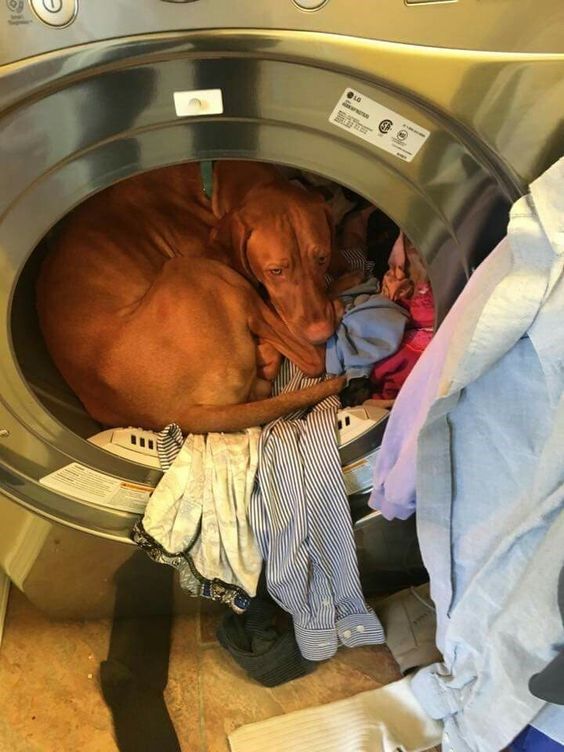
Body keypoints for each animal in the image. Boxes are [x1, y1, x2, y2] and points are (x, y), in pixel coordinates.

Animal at [36, 159, 348, 432]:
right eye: (276, 271)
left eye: (322, 258)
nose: (321, 331)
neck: (210, 184)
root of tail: (172, 414)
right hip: (198, 271)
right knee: (311, 358)